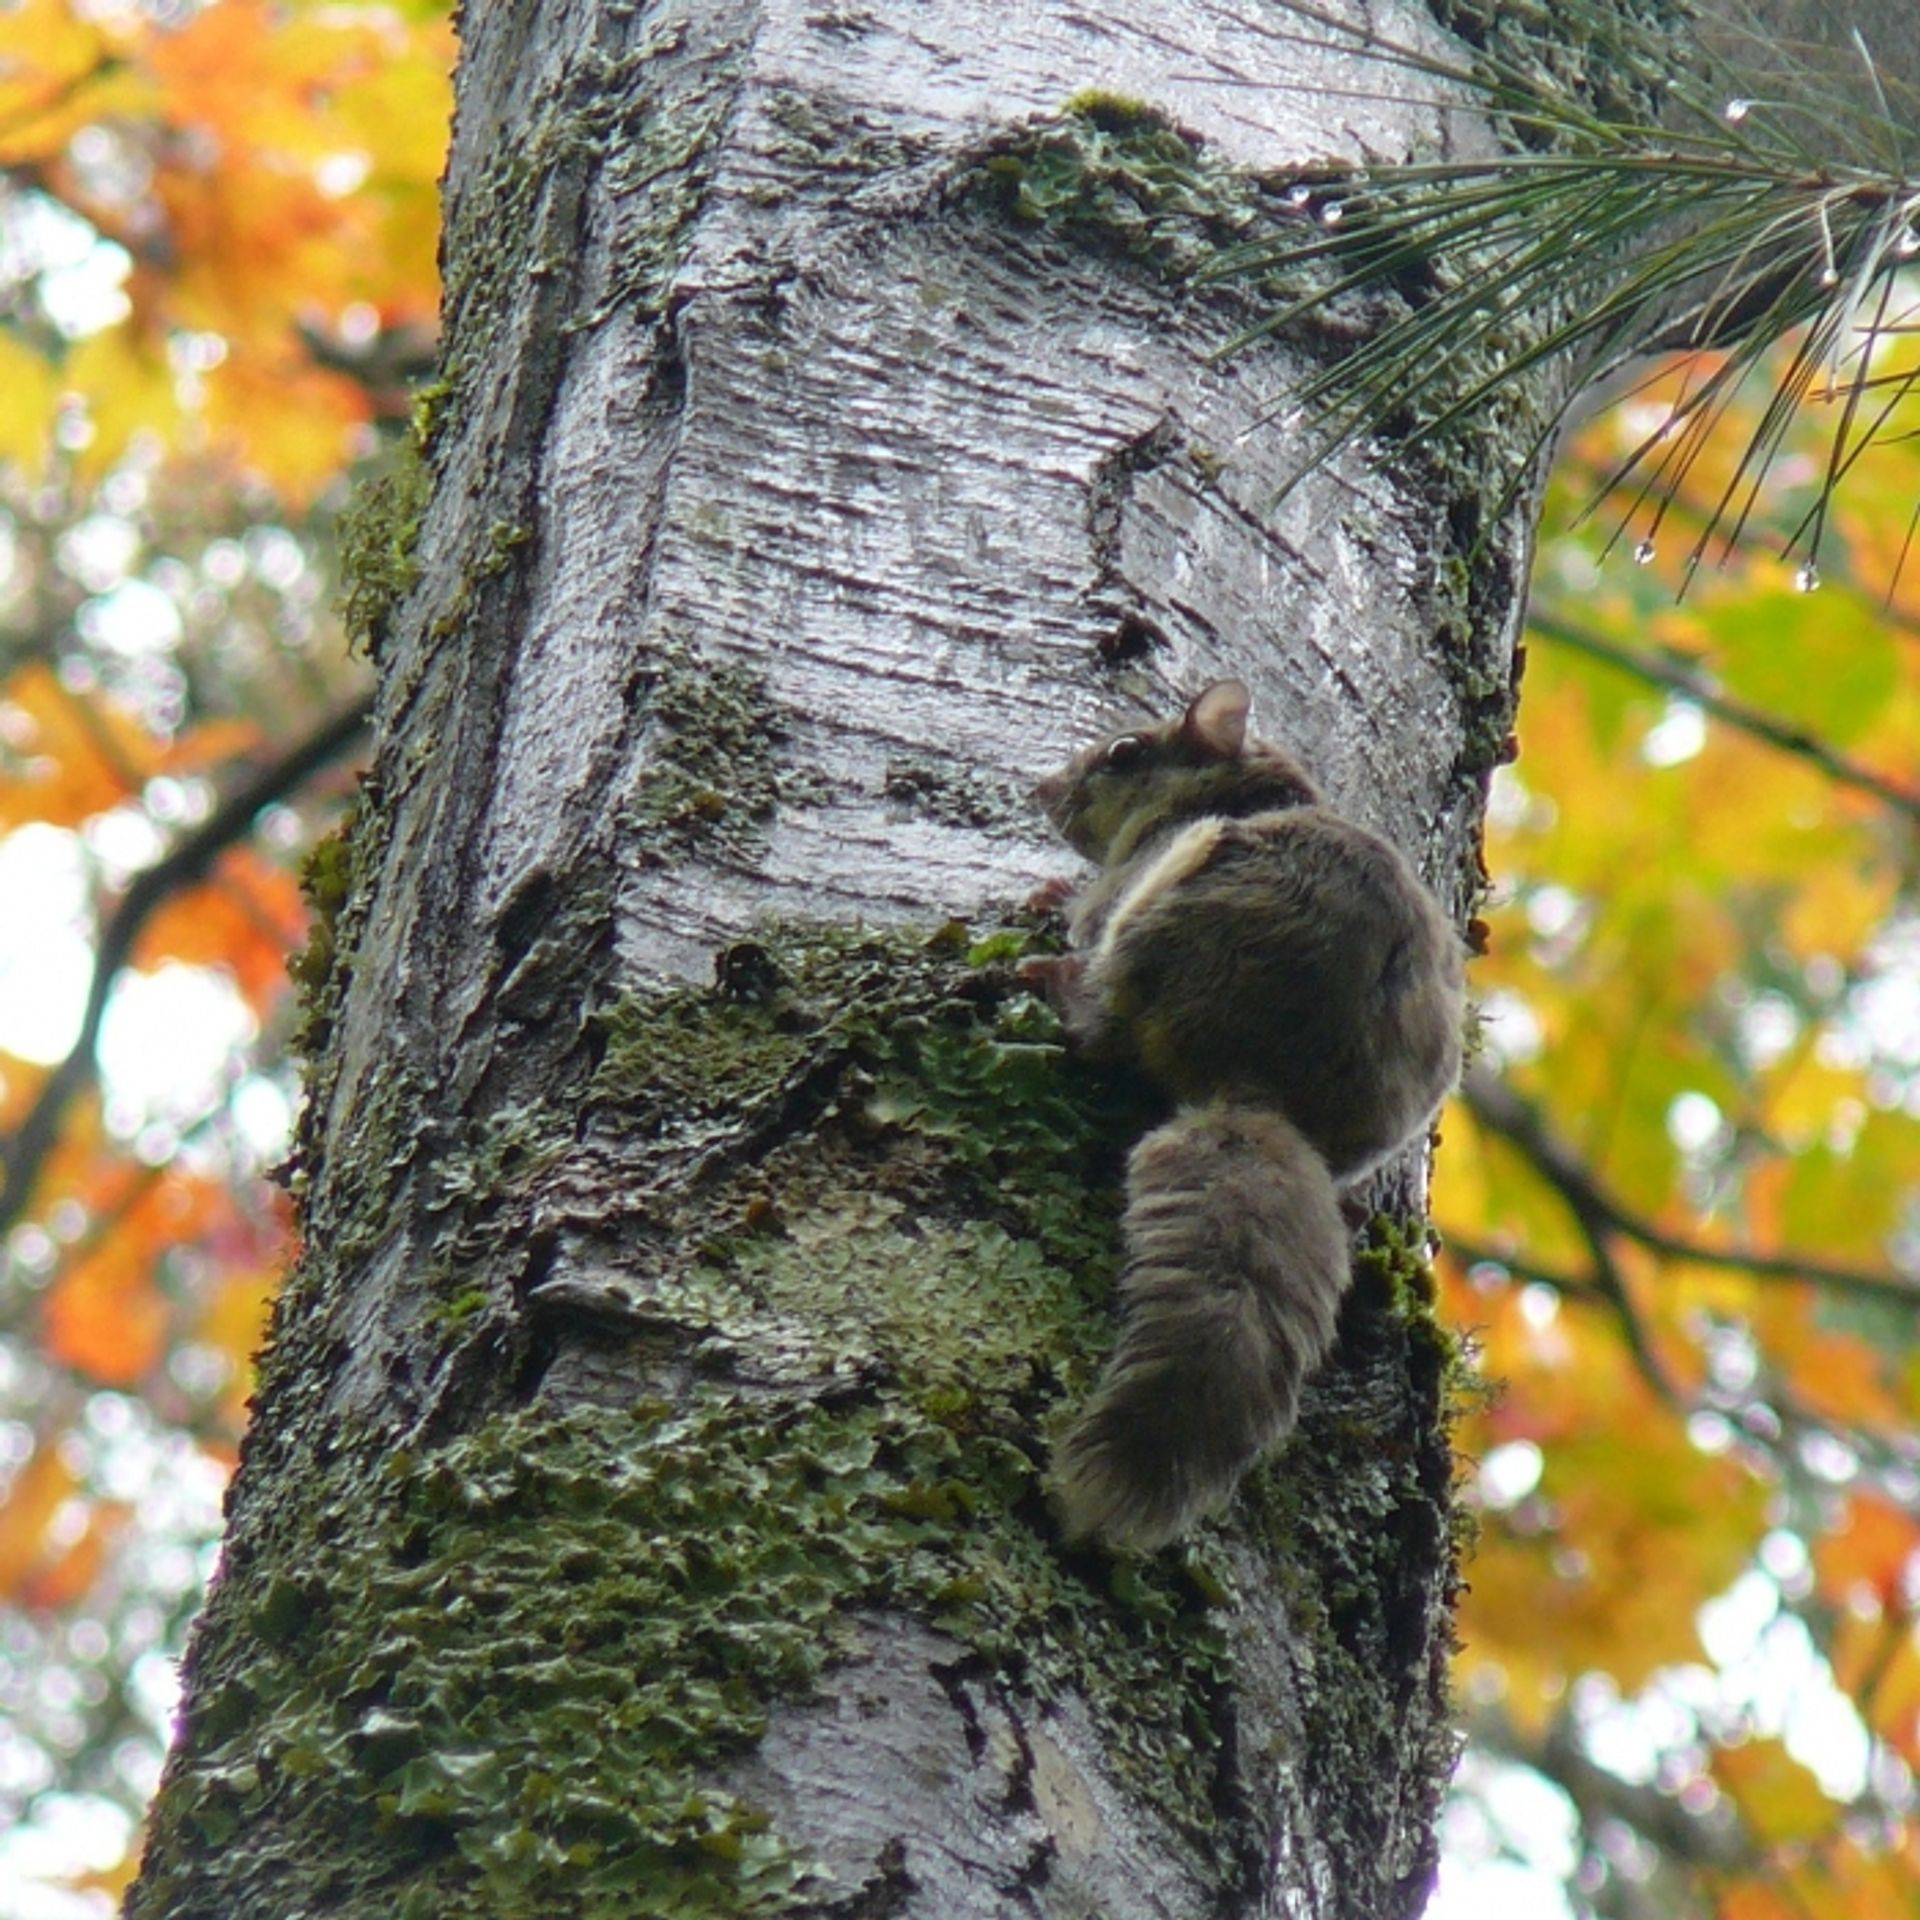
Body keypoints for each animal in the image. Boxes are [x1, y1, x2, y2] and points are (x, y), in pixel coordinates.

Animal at [1029, 675, 1459, 1543]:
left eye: (1124, 752)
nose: (1043, 791)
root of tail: (1255, 1087)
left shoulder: (1131, 872)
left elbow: (1084, 908)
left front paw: (1052, 892)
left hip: (1155, 923)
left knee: (1105, 1032)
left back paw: (1059, 988)